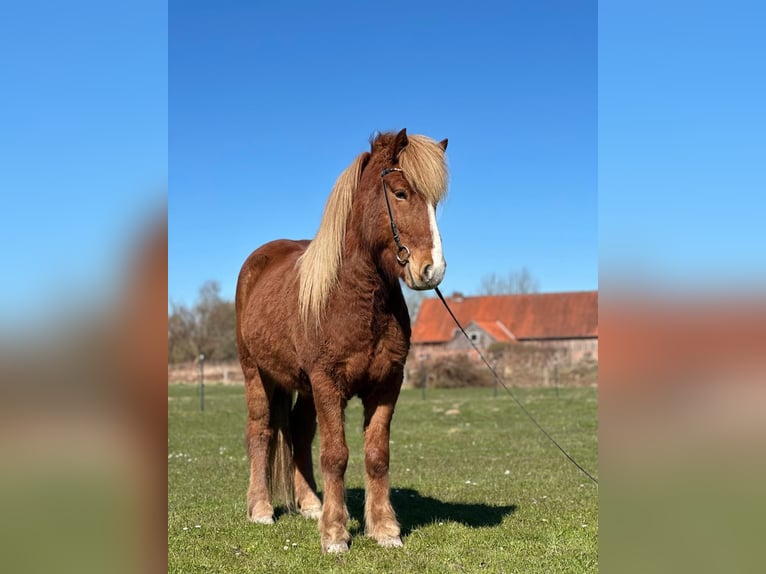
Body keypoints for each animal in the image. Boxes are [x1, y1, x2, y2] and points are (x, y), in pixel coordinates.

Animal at [235, 129, 449, 553]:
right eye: (401, 193)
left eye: (435, 202)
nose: (431, 270)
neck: (354, 298)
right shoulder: (327, 383)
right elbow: (335, 455)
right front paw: (335, 534)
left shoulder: (386, 384)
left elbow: (376, 455)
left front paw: (384, 529)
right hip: (258, 375)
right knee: (261, 434)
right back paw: (262, 509)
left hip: (303, 387)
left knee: (299, 434)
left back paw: (310, 505)